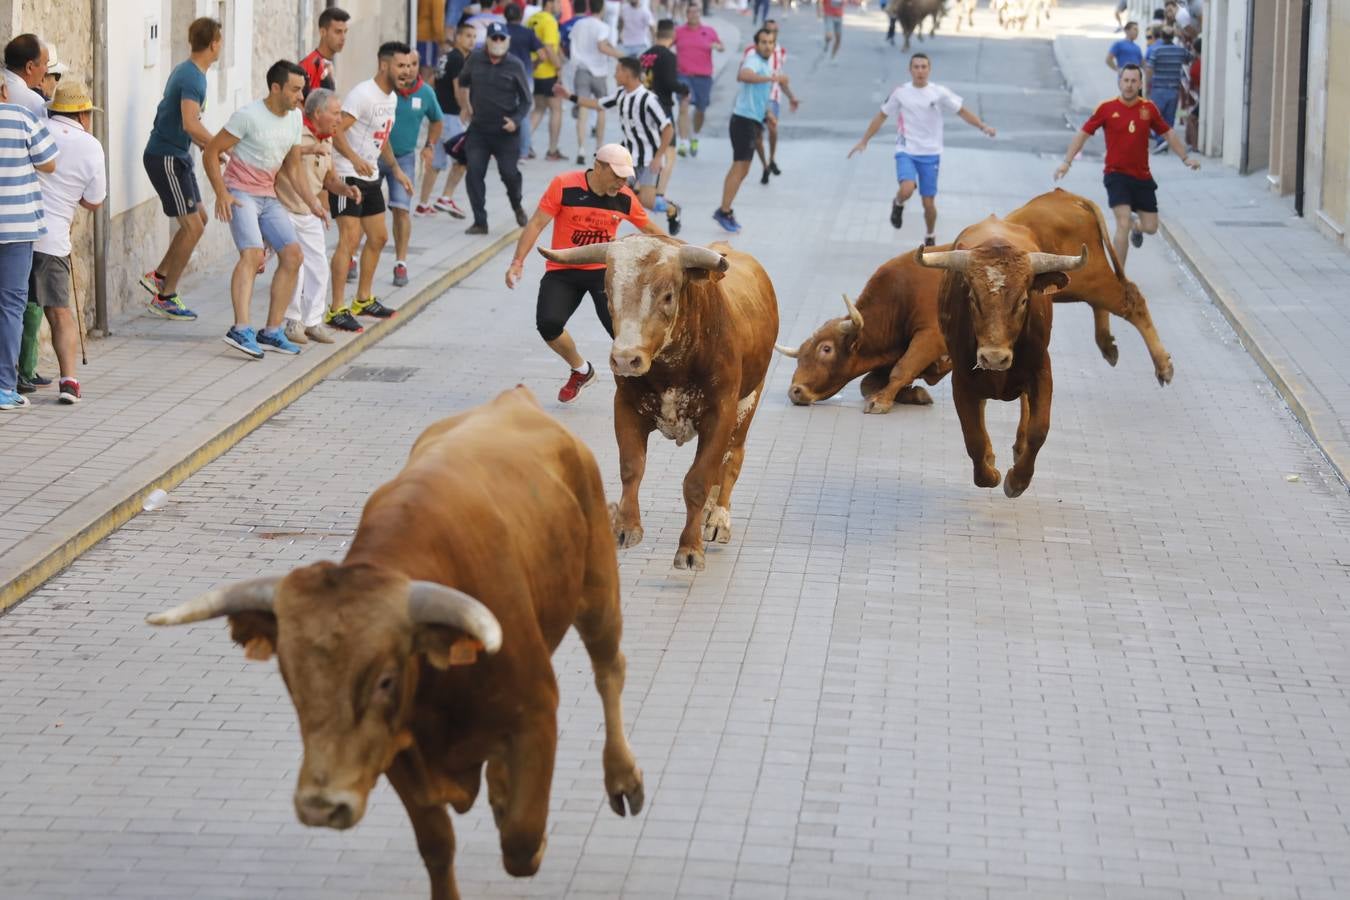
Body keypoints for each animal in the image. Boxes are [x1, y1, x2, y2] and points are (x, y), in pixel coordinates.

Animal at [147, 388, 642, 900]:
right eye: (290, 679)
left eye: (385, 680)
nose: (321, 805)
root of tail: (515, 398)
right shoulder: (396, 748)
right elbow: (437, 845)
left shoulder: (536, 714)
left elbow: (521, 843)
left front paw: (524, 823)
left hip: (597, 585)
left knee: (609, 669)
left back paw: (623, 779)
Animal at [540, 234, 783, 569]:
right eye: (608, 292)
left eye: (668, 296)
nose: (625, 359)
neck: (672, 366)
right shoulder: (625, 406)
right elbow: (632, 467)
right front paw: (626, 527)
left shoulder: (720, 414)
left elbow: (697, 480)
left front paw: (690, 549)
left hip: (749, 399)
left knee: (732, 458)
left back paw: (718, 518)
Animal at [772, 249, 950, 415]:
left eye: (826, 348)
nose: (794, 391)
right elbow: (867, 384)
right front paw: (914, 394)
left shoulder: (930, 335)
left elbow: (902, 368)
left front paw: (880, 401)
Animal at [912, 218, 1090, 499]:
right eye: (973, 298)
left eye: (1024, 300)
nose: (994, 358)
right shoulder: (962, 380)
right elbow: (973, 435)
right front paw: (989, 473)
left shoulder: (1042, 372)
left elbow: (1039, 430)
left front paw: (1017, 481)